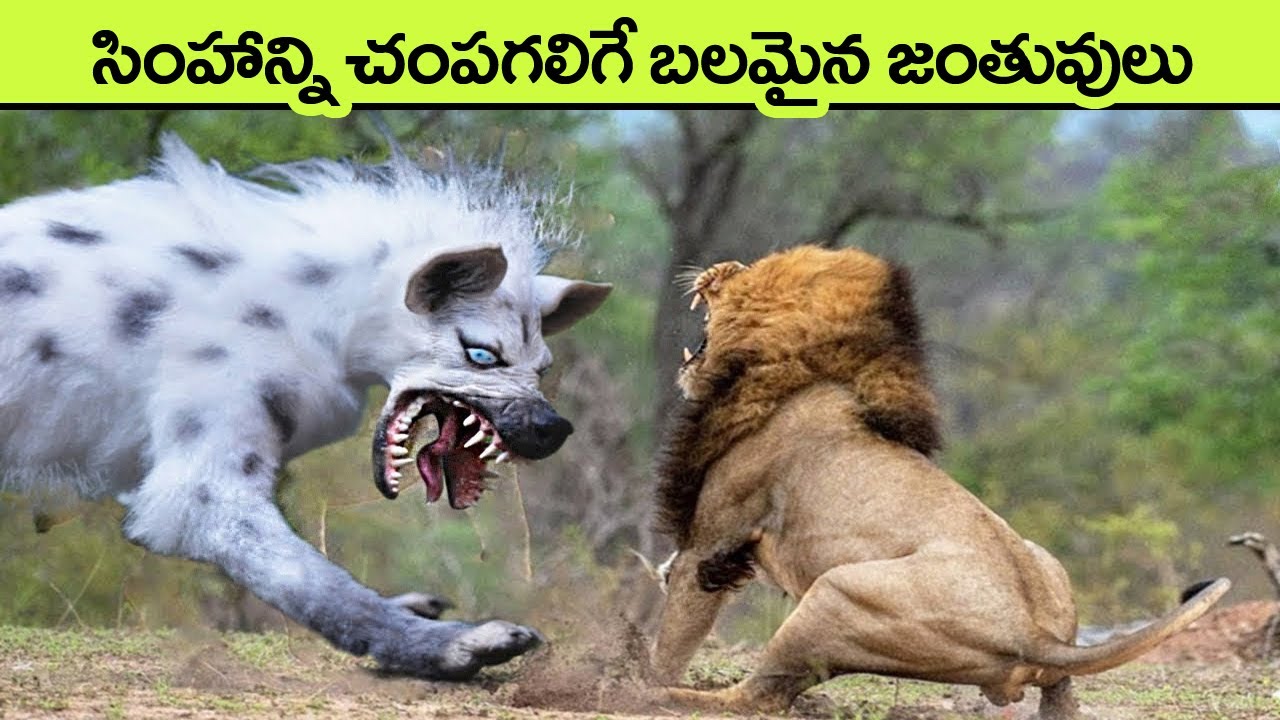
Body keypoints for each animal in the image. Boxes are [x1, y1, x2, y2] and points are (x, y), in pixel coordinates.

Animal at [648, 245, 1230, 719]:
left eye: (745, 273)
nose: (718, 266)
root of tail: (1035, 634)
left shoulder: (714, 542)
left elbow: (676, 633)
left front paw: (639, 675)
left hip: (837, 592)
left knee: (759, 697)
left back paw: (662, 697)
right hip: (1044, 566)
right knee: (1062, 693)